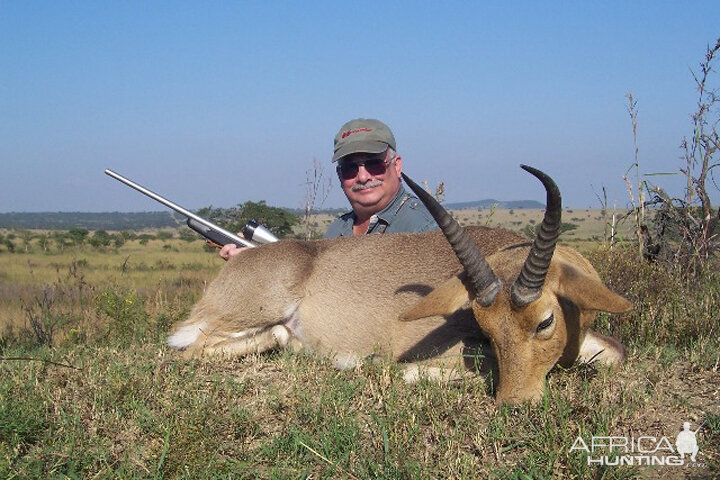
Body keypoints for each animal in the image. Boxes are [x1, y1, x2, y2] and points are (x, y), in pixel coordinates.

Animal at [169, 167, 632, 404]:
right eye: (483, 326)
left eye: (544, 321)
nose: (515, 403)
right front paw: (385, 367)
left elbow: (616, 353)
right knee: (188, 350)